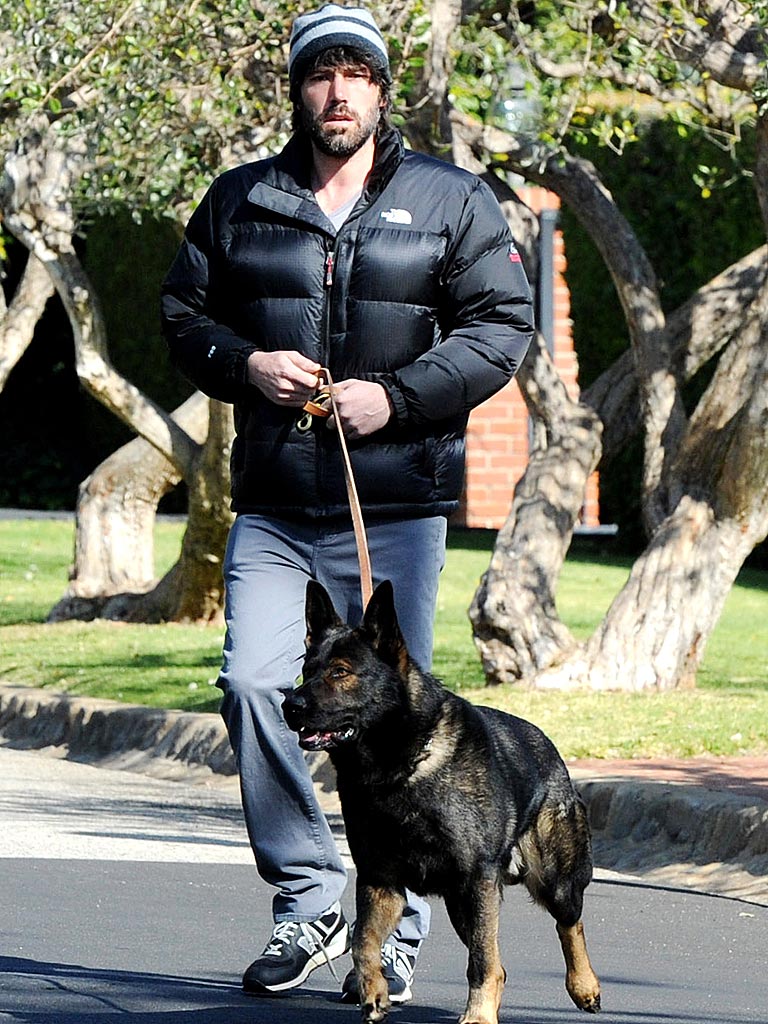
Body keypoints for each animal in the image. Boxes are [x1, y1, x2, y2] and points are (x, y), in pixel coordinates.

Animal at [282, 585, 602, 1024]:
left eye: (341, 672)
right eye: (308, 669)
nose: (289, 706)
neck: (400, 764)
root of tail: (552, 752)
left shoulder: (478, 880)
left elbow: (482, 961)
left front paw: (478, 1017)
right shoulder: (380, 881)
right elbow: (363, 942)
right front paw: (374, 990)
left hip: (549, 882)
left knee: (568, 925)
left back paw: (584, 986)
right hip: (461, 904)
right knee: (500, 963)